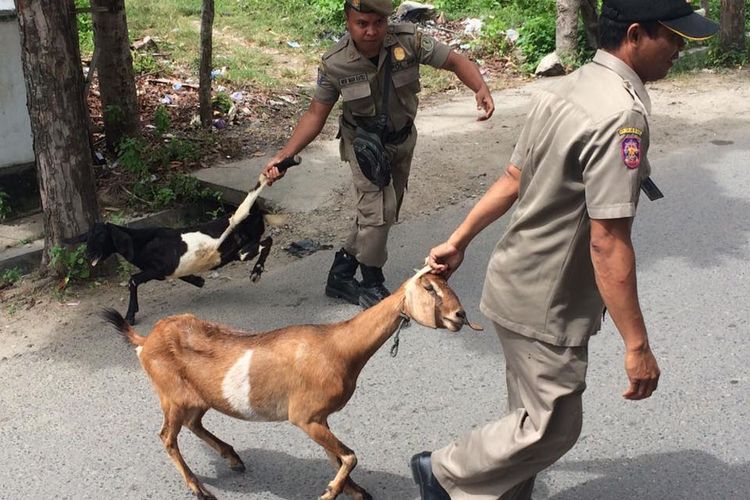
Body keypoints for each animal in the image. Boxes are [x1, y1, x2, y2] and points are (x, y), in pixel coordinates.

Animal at [103, 268, 484, 500]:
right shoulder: (304, 415)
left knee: (194, 425)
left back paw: (233, 458)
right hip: (173, 395)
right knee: (167, 437)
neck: (337, 346)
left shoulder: (320, 418)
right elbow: (348, 455)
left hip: (197, 397)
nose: (460, 316)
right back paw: (199, 488)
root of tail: (145, 341)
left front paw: (354, 490)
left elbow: (337, 455)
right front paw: (331, 492)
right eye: (430, 288)